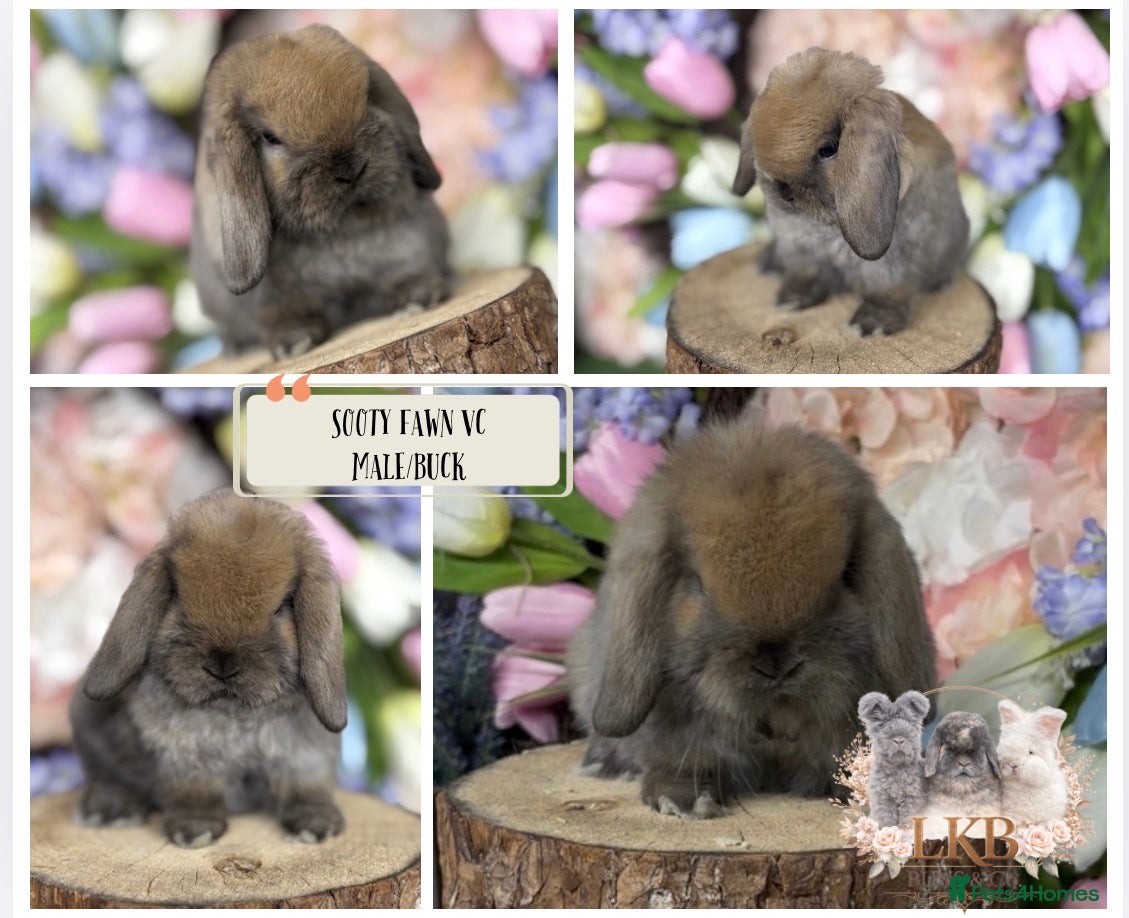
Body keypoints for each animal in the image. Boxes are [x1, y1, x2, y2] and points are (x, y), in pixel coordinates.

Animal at [69, 491, 348, 848]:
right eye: (177, 597)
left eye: (281, 607)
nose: (222, 665)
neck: (234, 713)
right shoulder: (182, 756)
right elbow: (194, 793)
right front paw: (195, 831)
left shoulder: (305, 754)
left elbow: (307, 786)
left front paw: (317, 825)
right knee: (106, 776)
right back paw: (111, 809)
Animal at [190, 24, 452, 359]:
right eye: (270, 138)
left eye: (367, 97)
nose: (351, 169)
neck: (340, 230)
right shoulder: (273, 298)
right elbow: (286, 316)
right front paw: (295, 344)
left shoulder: (408, 245)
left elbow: (406, 273)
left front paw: (422, 297)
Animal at [731, 48, 970, 336]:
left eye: (829, 149)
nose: (783, 190)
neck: (825, 227)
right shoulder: (801, 252)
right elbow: (805, 275)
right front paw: (791, 300)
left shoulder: (892, 268)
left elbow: (887, 292)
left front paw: (871, 325)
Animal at [858, 690, 930, 828]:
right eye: (883, 725)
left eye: (909, 723)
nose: (899, 740)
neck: (898, 768)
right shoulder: (883, 800)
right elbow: (887, 821)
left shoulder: (913, 799)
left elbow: (907, 819)